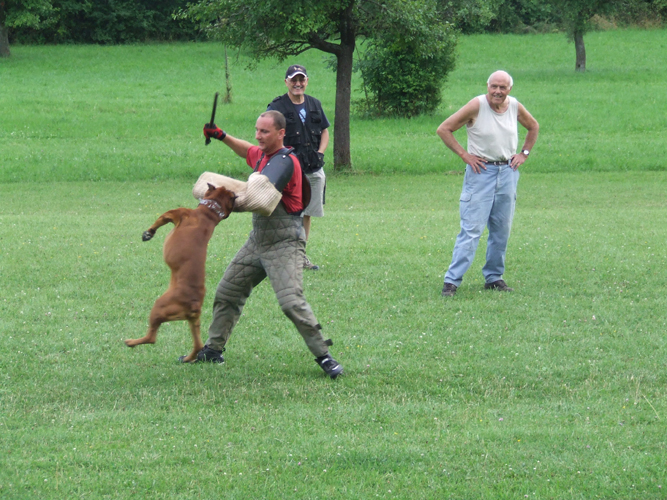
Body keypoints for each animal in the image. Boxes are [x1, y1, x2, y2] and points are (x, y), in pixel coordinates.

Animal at [124, 184, 236, 364]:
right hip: (192, 321)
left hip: (159, 307)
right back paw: (187, 359)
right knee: (197, 346)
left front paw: (148, 233)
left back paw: (131, 342)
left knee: (151, 338)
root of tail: (194, 303)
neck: (209, 212)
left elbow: (159, 220)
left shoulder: (174, 213)